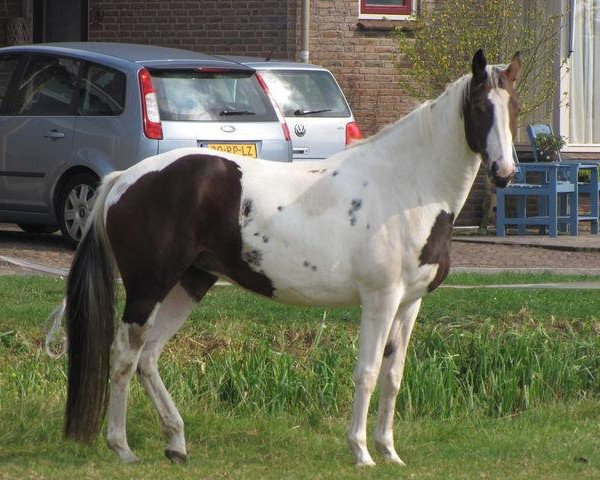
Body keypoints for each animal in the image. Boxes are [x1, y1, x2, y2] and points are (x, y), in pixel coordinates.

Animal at [52, 50, 520, 466]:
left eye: (513, 107)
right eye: (480, 107)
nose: (505, 171)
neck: (406, 186)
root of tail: (123, 179)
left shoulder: (409, 303)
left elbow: (392, 377)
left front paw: (389, 451)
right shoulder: (380, 299)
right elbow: (367, 373)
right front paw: (361, 452)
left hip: (191, 282)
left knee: (148, 357)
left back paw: (176, 444)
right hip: (148, 288)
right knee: (124, 356)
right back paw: (122, 447)